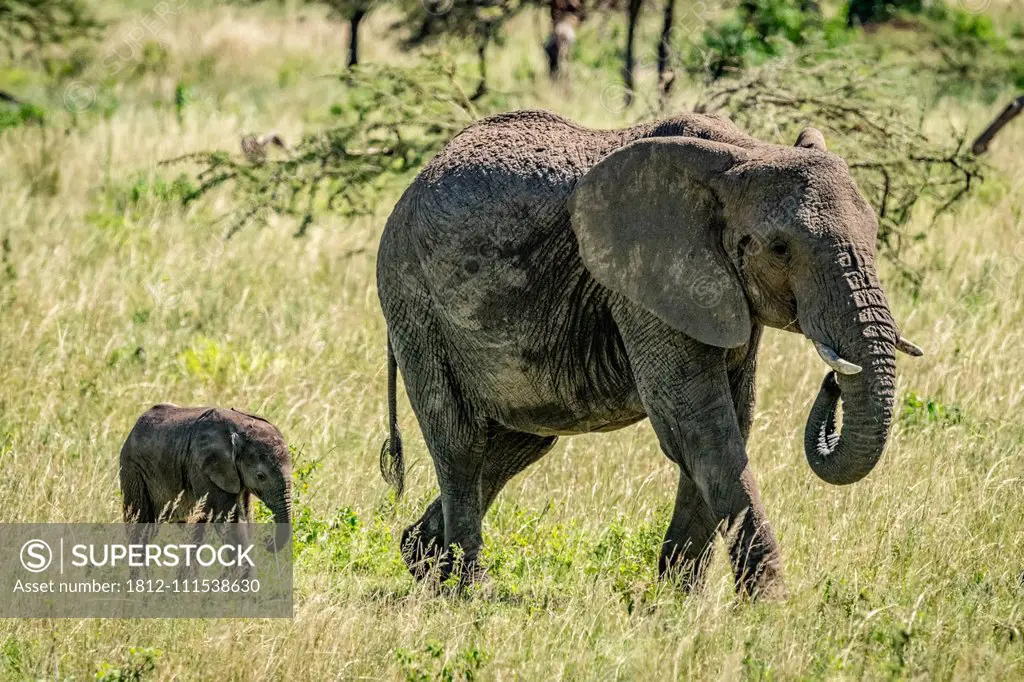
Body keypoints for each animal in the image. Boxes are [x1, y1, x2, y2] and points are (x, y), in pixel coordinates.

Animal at [122, 401, 296, 548]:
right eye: (261, 476)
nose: (267, 541)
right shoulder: (204, 469)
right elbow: (230, 523)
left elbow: (246, 519)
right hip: (133, 470)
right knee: (141, 527)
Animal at [374, 109, 921, 593]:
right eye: (781, 249)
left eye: (875, 235)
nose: (832, 380)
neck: (742, 154)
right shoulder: (641, 281)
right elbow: (698, 427)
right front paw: (768, 606)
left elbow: (728, 423)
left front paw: (675, 603)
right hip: (414, 301)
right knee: (460, 444)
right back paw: (471, 590)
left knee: (516, 445)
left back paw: (423, 561)